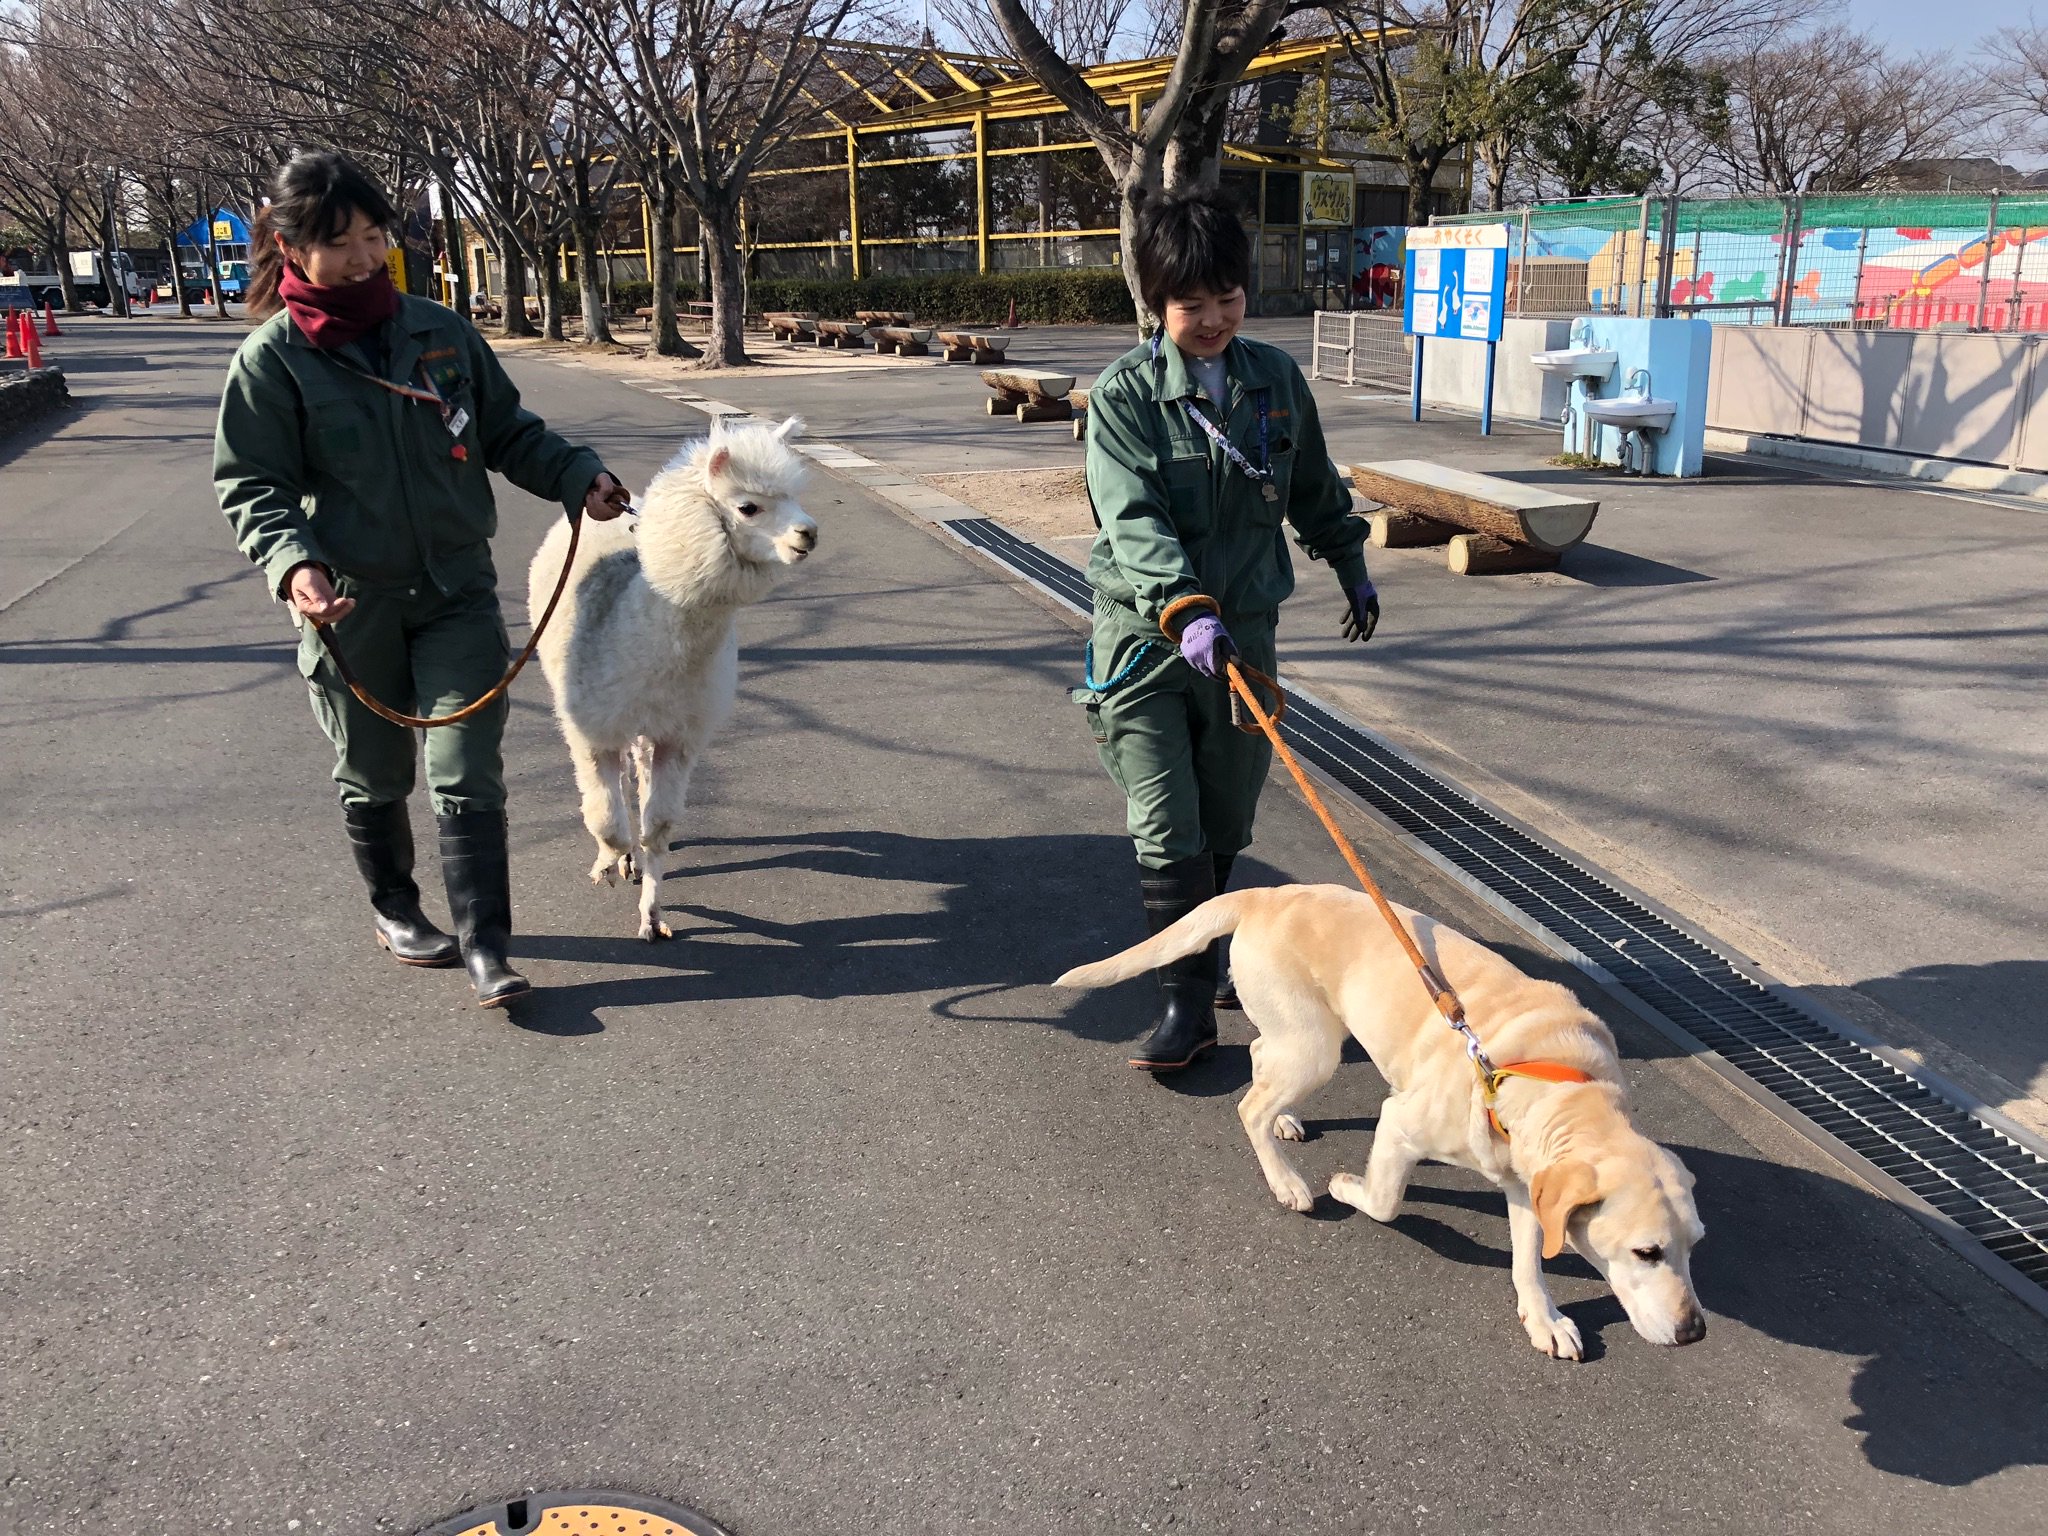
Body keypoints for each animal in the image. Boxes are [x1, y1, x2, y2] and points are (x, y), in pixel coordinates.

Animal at [1064, 884, 1703, 1368]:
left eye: (1695, 1245)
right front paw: (1348, 1187)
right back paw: (1286, 1181)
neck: (1560, 1076)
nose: (1695, 1331)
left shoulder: (1529, 1181)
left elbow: (1529, 1257)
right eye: (1647, 1252)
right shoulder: (1401, 1123)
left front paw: (1543, 1318)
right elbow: (1386, 1202)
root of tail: (1265, 893)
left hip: (1302, 1040)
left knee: (1261, 1062)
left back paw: (1285, 1118)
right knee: (1249, 1106)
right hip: (1315, 1046)